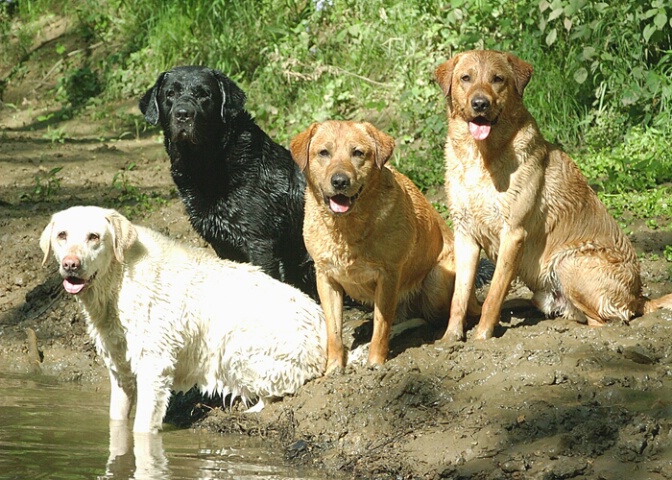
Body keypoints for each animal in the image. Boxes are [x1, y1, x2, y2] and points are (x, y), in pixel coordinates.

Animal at [39, 206, 328, 436]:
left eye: (94, 237)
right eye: (62, 235)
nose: (71, 264)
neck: (118, 279)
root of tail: (323, 324)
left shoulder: (154, 365)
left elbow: (142, 428)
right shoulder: (119, 367)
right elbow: (117, 419)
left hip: (240, 349)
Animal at [288, 121, 478, 376]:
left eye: (358, 153)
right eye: (324, 152)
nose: (340, 181)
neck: (347, 230)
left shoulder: (388, 275)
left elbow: (381, 324)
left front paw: (375, 364)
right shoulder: (326, 277)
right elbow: (333, 331)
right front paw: (334, 368)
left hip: (436, 281)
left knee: (434, 317)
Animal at [436, 49, 672, 342]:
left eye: (497, 79)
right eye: (465, 78)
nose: (480, 104)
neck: (479, 158)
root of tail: (639, 297)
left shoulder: (512, 233)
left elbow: (493, 294)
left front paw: (481, 338)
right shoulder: (465, 234)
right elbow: (459, 296)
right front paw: (450, 338)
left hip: (569, 262)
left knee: (606, 322)